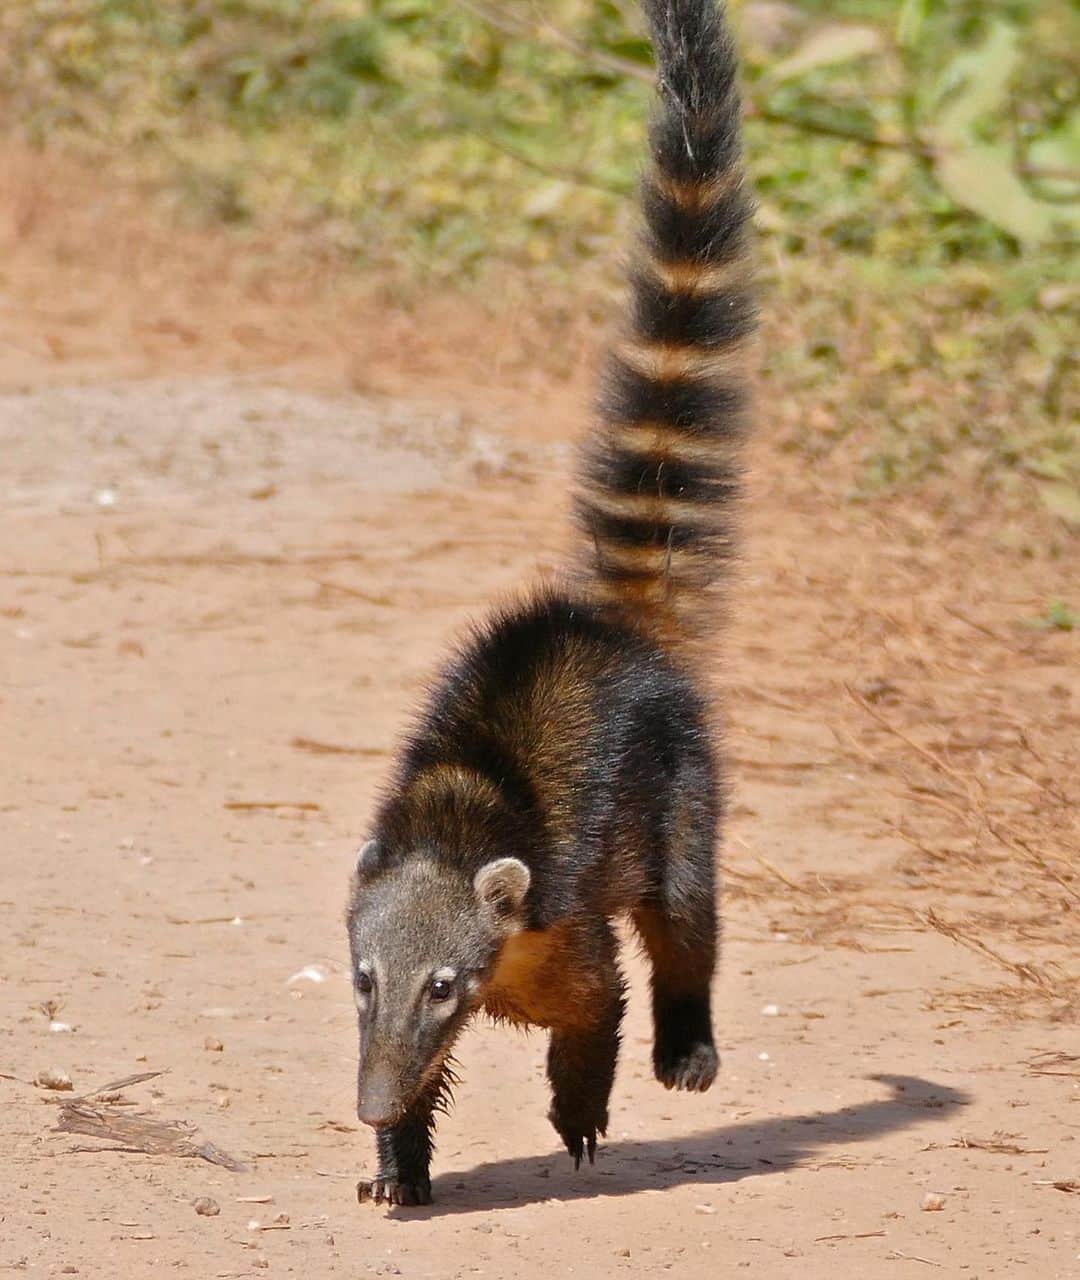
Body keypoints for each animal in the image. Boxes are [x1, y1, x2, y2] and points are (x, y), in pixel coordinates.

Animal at [346, 0, 755, 1206]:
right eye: (360, 980)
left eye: (444, 983)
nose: (366, 1104)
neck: (453, 818)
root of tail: (605, 623)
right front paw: (399, 1151)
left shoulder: (558, 920)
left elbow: (597, 1000)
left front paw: (576, 1100)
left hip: (682, 787)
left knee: (686, 918)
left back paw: (687, 1029)